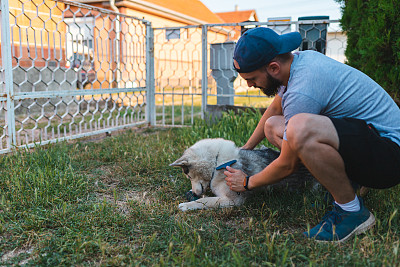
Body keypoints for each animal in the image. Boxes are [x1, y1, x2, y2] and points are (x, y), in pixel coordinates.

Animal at [170, 138, 314, 211]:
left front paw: (187, 205)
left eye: (189, 176)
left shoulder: (232, 200)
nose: (194, 193)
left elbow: (205, 201)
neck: (216, 162)